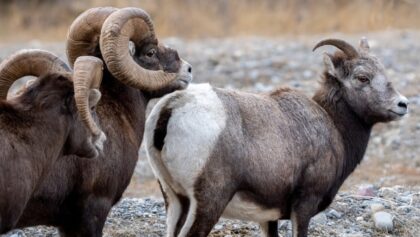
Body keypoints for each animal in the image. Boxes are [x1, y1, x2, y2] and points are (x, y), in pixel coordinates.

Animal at [146, 38, 408, 236]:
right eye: (363, 78)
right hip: (207, 204)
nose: (402, 105)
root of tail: (173, 106)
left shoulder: (268, 218)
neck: (332, 124)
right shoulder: (304, 206)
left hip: (176, 200)